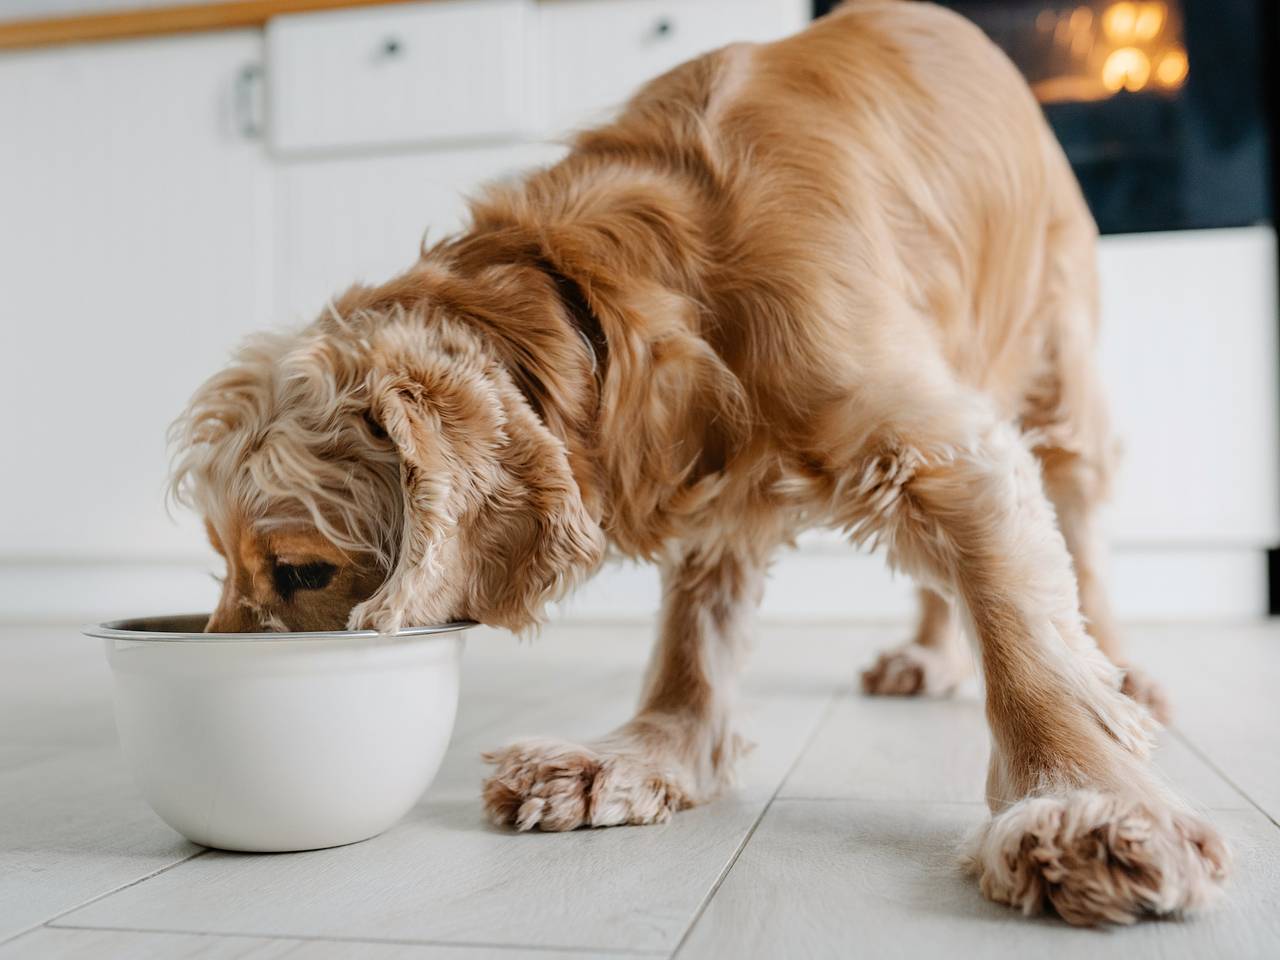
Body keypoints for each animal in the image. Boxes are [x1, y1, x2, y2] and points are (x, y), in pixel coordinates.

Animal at [167, 1, 1218, 931]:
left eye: (302, 573)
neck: (603, 290)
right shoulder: (719, 486)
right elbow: (693, 639)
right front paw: (637, 757)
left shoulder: (936, 440)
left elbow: (1025, 637)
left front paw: (1083, 807)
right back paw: (924, 657)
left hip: (1057, 369)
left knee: (1082, 531)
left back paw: (1127, 671)